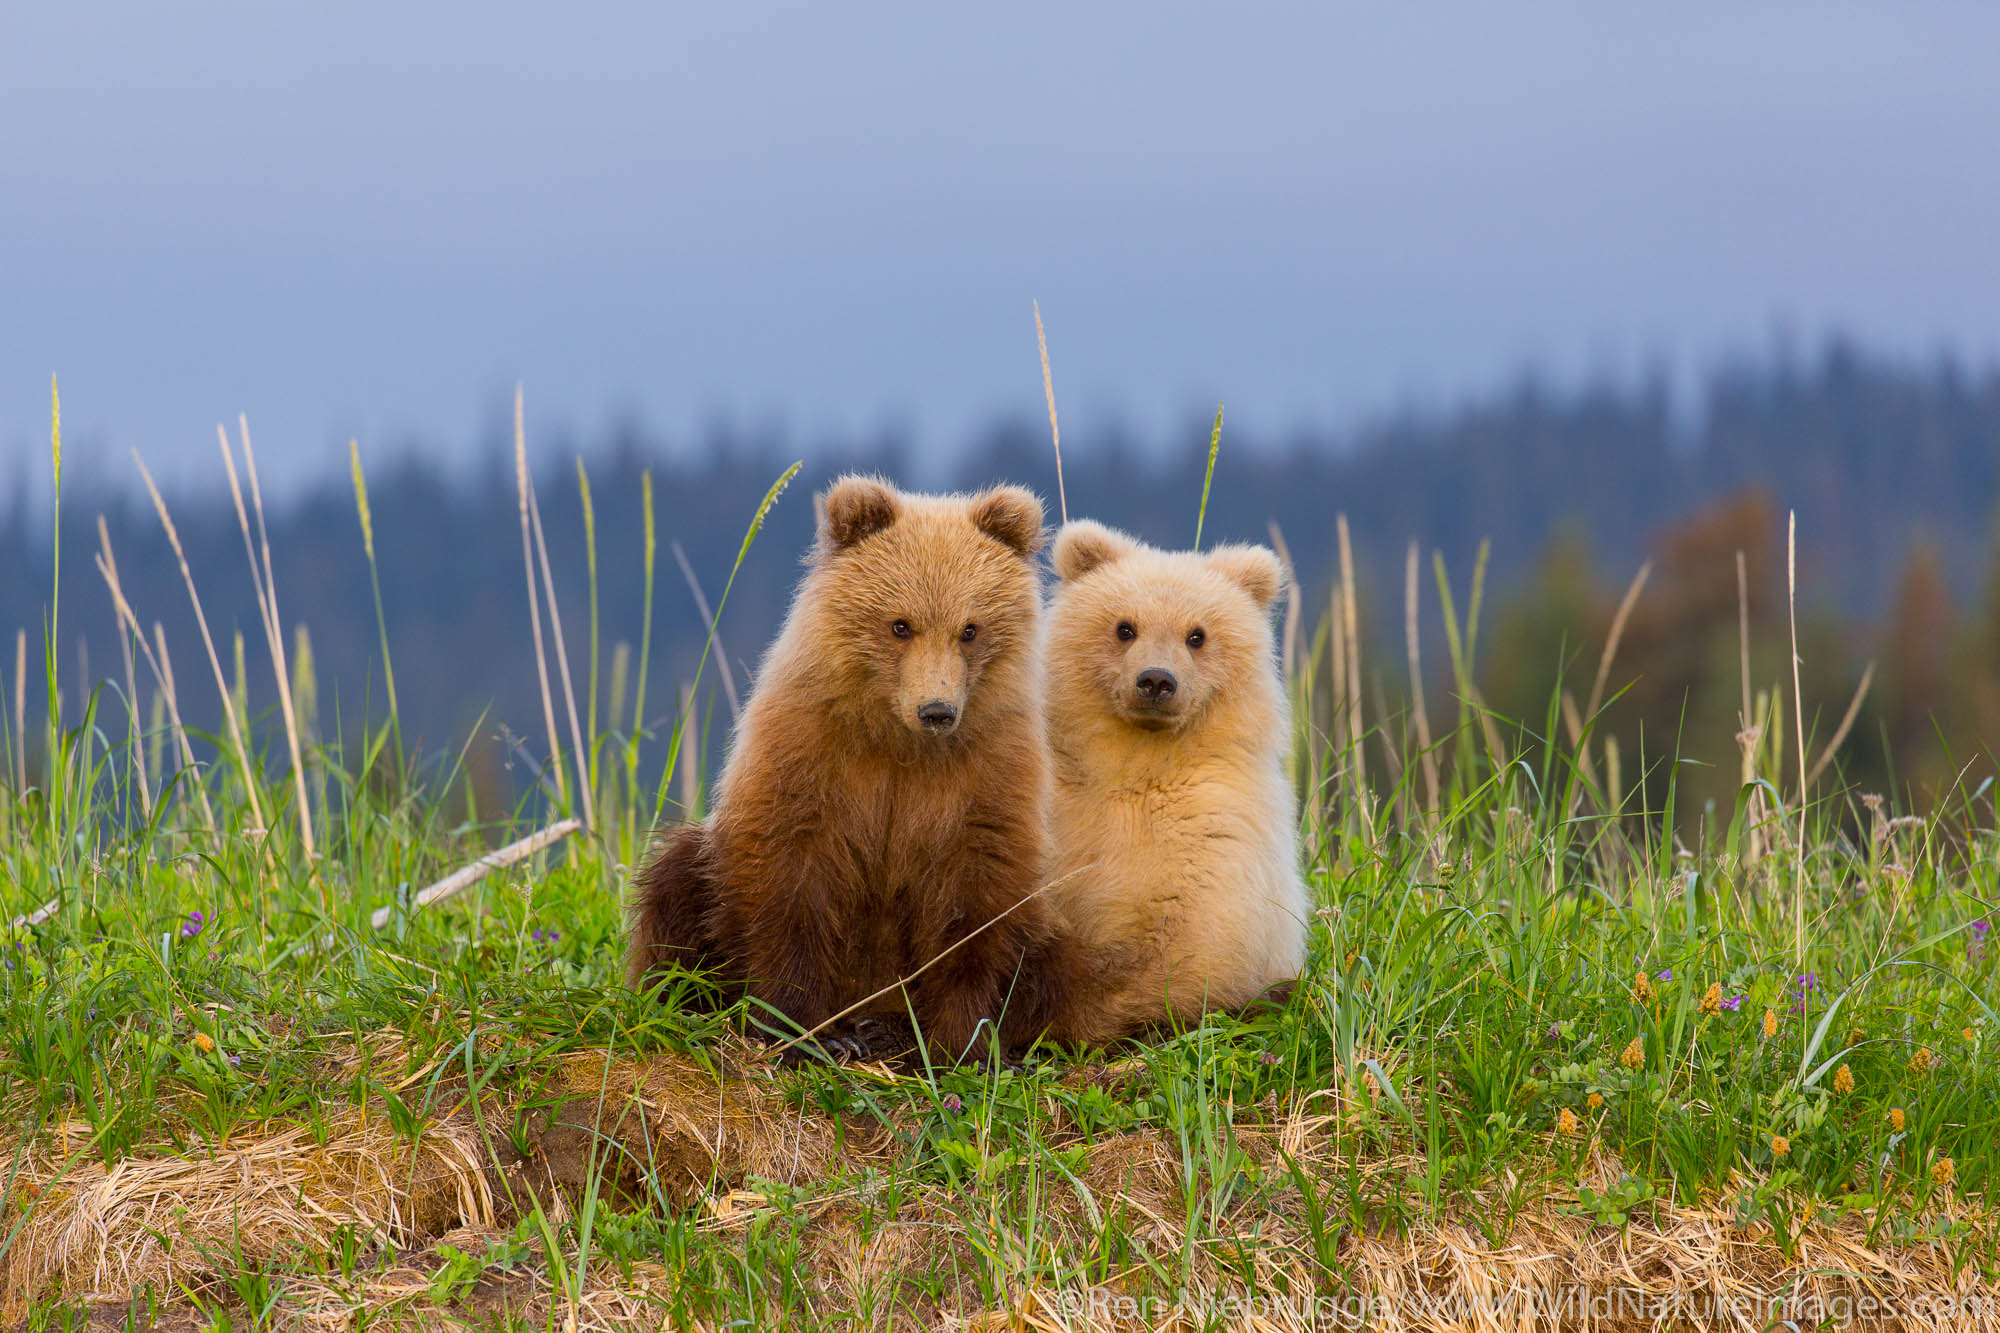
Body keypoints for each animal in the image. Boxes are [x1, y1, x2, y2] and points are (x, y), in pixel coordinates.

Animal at [626, 474, 1075, 1062]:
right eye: (900, 625)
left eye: (970, 629)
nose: (937, 710)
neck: (898, 743)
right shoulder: (811, 753)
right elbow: (792, 883)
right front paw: (805, 1032)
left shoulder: (987, 771)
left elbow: (975, 908)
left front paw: (964, 1043)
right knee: (675, 879)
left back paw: (891, 1028)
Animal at [1040, 520, 1310, 1045]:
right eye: (1125, 627)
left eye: (1196, 635)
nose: (1156, 681)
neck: (1139, 763)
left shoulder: (1214, 829)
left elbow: (1188, 945)